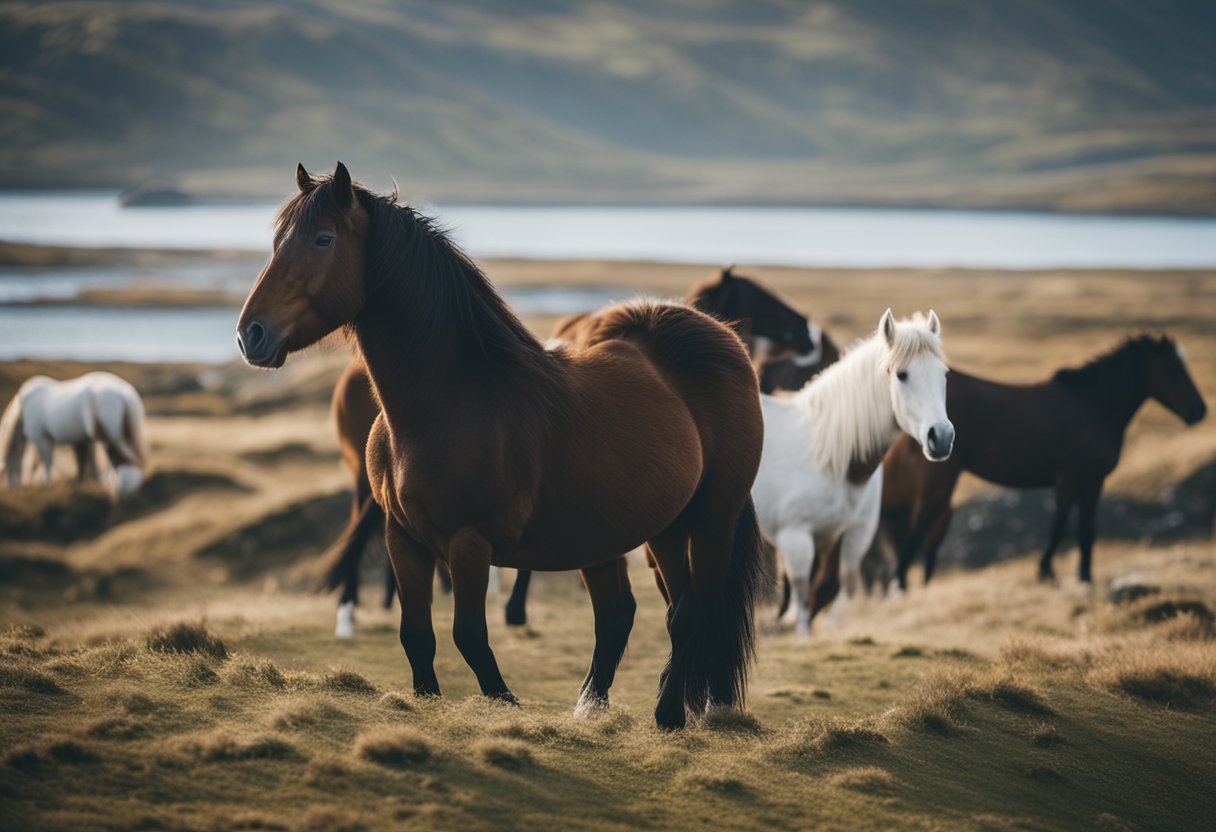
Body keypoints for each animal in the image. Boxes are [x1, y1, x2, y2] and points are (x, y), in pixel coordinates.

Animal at [1, 372, 148, 501]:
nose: (12, 489)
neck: (24, 408)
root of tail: (125, 395)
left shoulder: (42, 439)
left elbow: (47, 463)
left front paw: (46, 485)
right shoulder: (81, 440)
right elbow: (83, 463)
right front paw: (84, 485)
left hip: (109, 439)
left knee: (122, 464)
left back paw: (120, 491)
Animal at [235, 164, 763, 729]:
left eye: (323, 239)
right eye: (278, 241)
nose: (251, 335)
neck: (451, 402)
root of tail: (725, 340)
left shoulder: (469, 544)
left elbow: (470, 637)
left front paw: (506, 704)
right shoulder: (404, 540)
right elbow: (416, 637)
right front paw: (430, 700)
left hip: (711, 520)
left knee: (694, 609)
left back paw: (667, 713)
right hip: (649, 529)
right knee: (633, 613)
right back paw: (601, 707)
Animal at [753, 308, 953, 632]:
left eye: (944, 374)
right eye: (902, 375)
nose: (942, 438)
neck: (830, 458)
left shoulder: (853, 535)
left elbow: (841, 586)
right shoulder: (796, 539)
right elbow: (802, 593)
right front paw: (801, 632)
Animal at [880, 335, 1201, 588]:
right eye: (1170, 368)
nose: (1199, 410)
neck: (1092, 406)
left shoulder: (1093, 481)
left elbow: (1087, 530)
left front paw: (1085, 577)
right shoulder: (1070, 479)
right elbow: (1060, 526)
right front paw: (1046, 571)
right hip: (939, 480)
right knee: (918, 530)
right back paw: (901, 587)